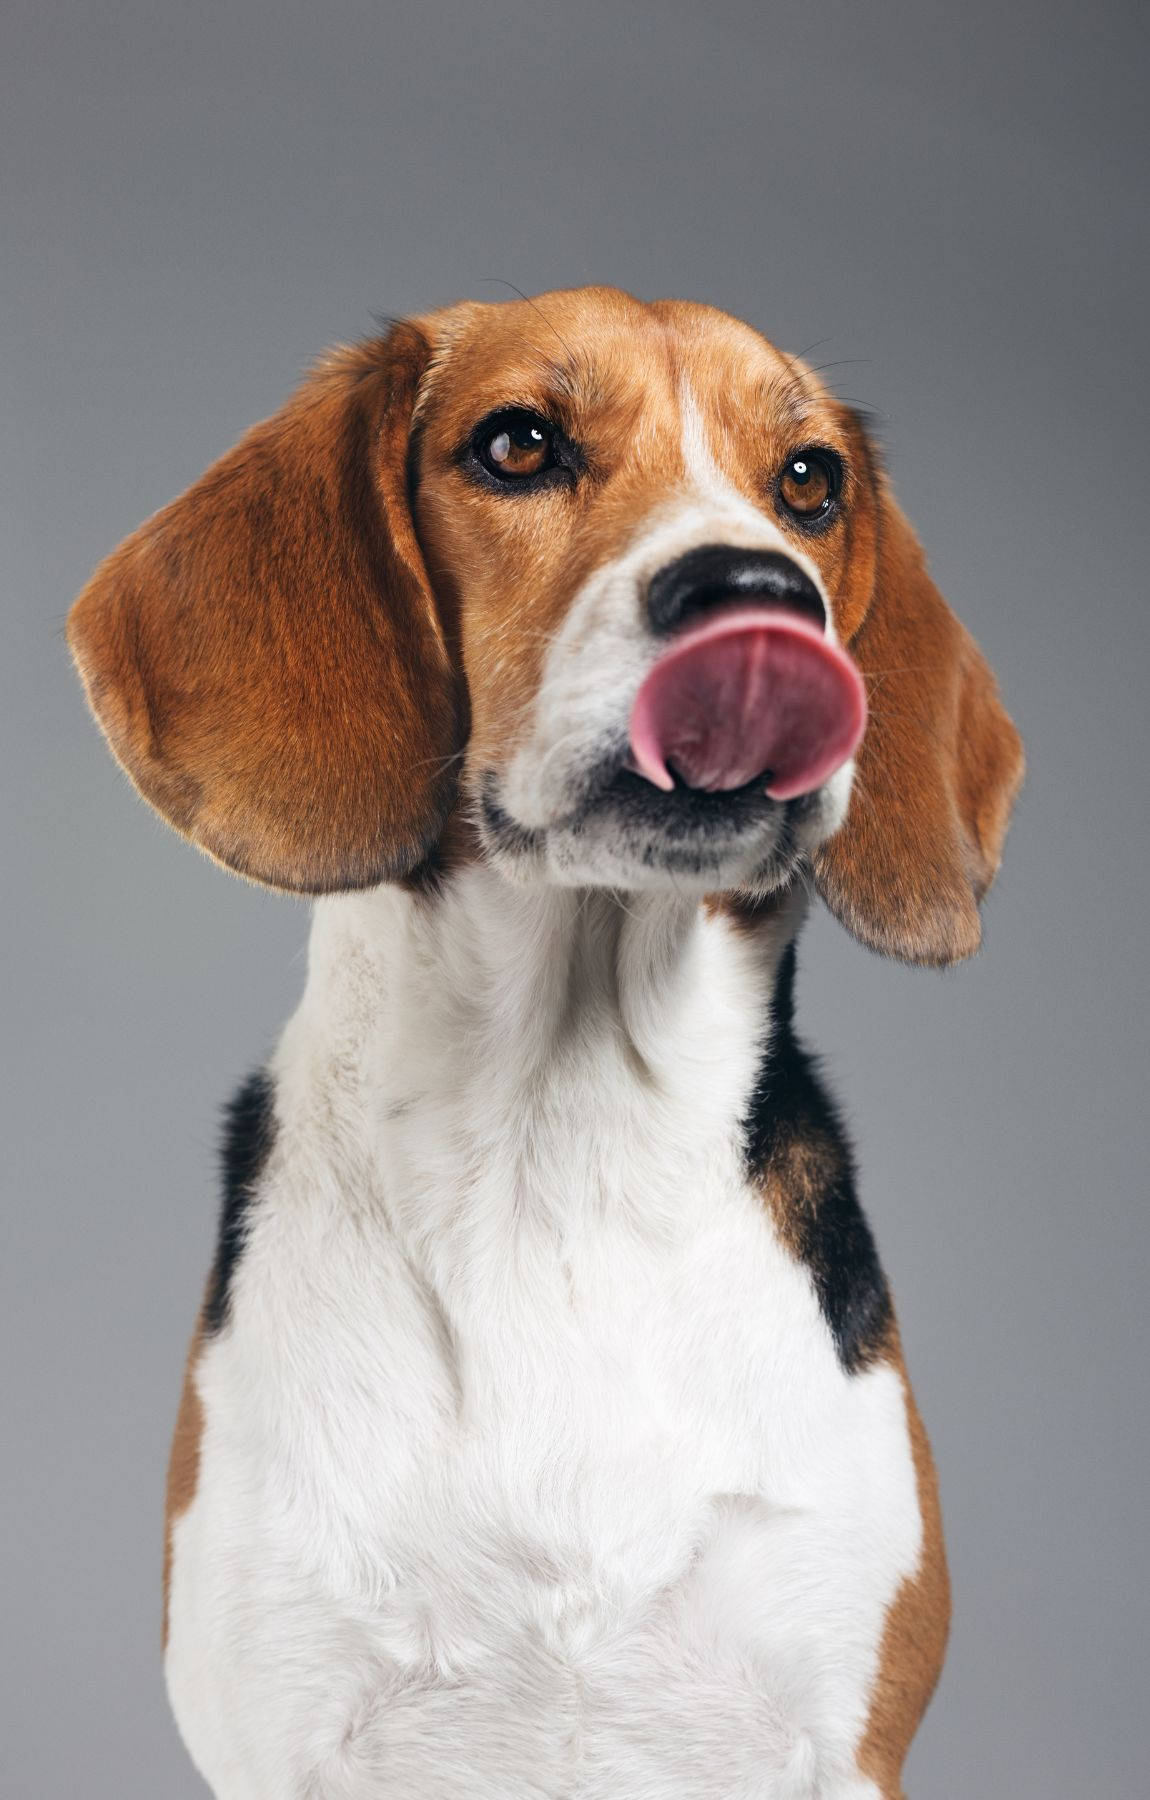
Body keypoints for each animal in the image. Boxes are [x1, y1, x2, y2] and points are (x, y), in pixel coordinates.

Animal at [69, 288, 1022, 1792]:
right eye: (516, 445)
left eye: (809, 481)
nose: (761, 595)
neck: (559, 1139)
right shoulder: (283, 1723)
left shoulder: (843, 1731)